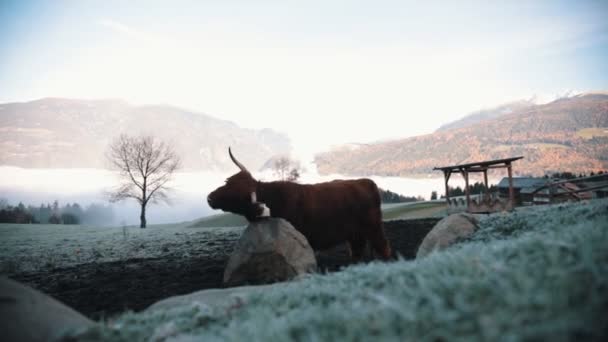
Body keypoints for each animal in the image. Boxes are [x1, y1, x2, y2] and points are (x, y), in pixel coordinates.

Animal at [207, 147, 392, 260]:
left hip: (374, 230)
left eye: (235, 192)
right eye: (227, 181)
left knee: (384, 249)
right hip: (356, 236)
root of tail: (366, 181)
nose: (209, 197)